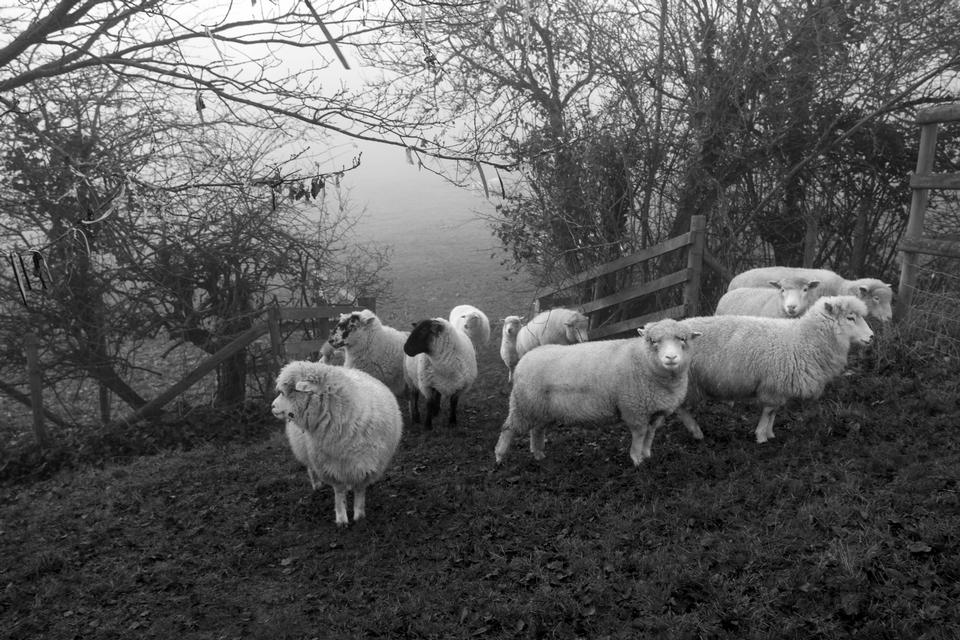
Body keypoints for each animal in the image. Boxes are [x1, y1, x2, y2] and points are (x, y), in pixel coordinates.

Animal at [272, 362, 404, 528]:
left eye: (287, 392)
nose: (272, 406)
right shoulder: (329, 466)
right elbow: (339, 492)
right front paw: (341, 518)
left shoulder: (366, 464)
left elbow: (359, 490)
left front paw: (359, 515)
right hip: (305, 450)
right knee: (310, 468)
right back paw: (317, 485)